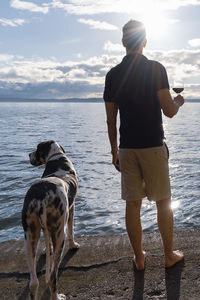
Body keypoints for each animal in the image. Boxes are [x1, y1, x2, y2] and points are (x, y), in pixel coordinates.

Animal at [21, 141, 79, 300]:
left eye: (37, 149)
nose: (29, 154)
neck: (57, 158)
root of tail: (42, 199)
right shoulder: (72, 207)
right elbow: (71, 230)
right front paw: (74, 245)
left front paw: (47, 249)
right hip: (59, 234)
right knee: (52, 277)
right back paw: (57, 296)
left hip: (30, 237)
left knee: (33, 282)